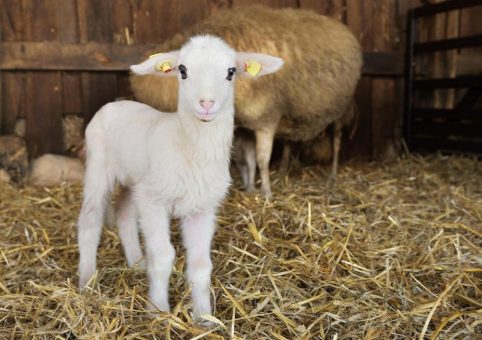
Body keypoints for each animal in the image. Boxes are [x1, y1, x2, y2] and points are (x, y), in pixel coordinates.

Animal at [77, 35, 282, 322]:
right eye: (183, 70)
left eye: (231, 72)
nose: (206, 103)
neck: (188, 146)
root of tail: (114, 103)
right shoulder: (154, 202)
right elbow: (164, 257)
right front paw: (158, 310)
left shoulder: (201, 208)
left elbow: (201, 265)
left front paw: (204, 317)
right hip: (98, 166)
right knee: (89, 219)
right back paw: (86, 281)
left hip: (135, 180)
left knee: (124, 214)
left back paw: (137, 263)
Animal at [132, 5, 362, 198]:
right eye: (182, 70)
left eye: (230, 71)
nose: (206, 103)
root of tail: (339, 25)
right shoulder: (245, 127)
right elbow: (249, 160)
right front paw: (251, 187)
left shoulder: (266, 119)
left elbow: (262, 159)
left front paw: (266, 193)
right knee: (288, 142)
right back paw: (284, 170)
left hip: (342, 112)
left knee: (337, 142)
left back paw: (332, 175)